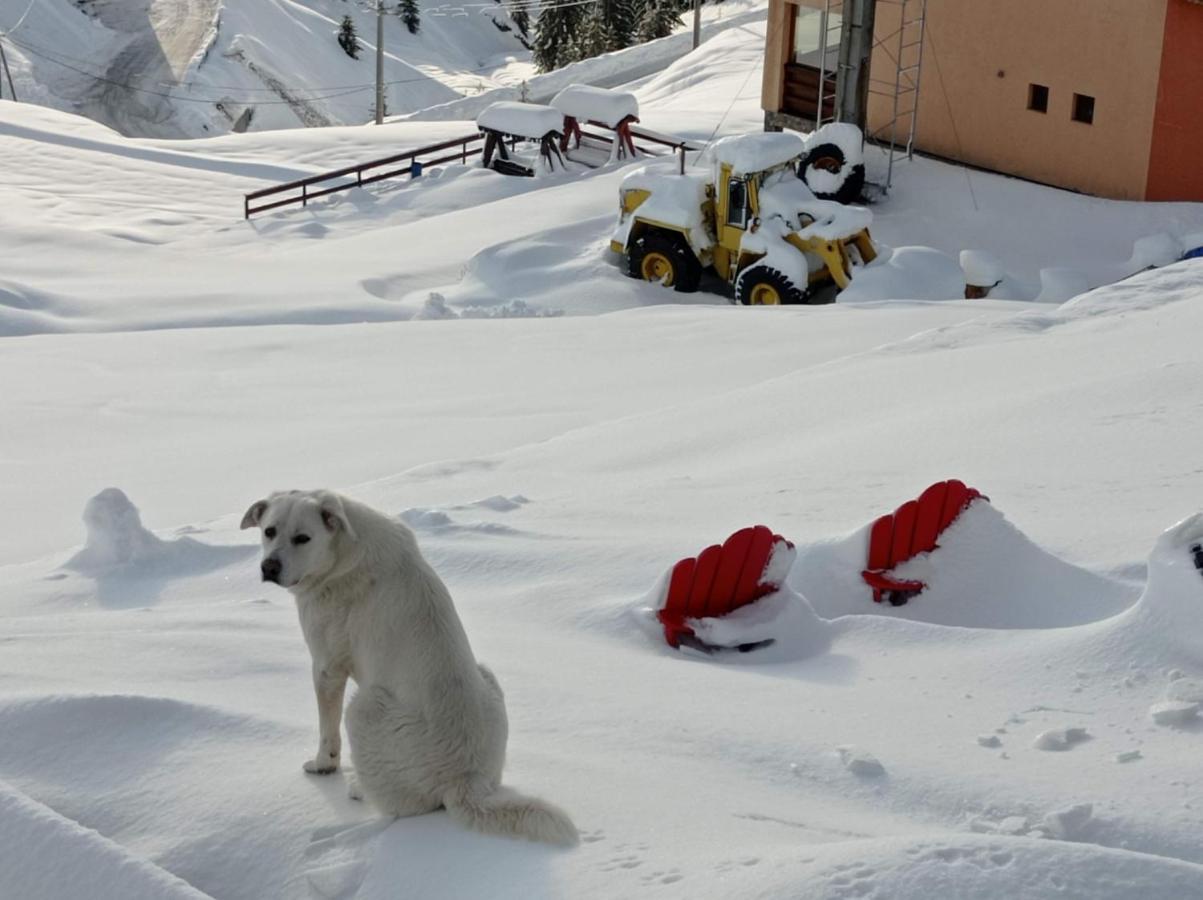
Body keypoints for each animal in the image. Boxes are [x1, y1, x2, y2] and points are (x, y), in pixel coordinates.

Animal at [240, 488, 577, 847]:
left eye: (303, 538)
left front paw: (322, 766)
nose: (269, 567)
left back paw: (359, 789)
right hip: (487, 676)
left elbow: (326, 732)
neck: (343, 549)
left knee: (402, 806)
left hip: (364, 707)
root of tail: (464, 780)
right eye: (269, 531)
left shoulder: (327, 666)